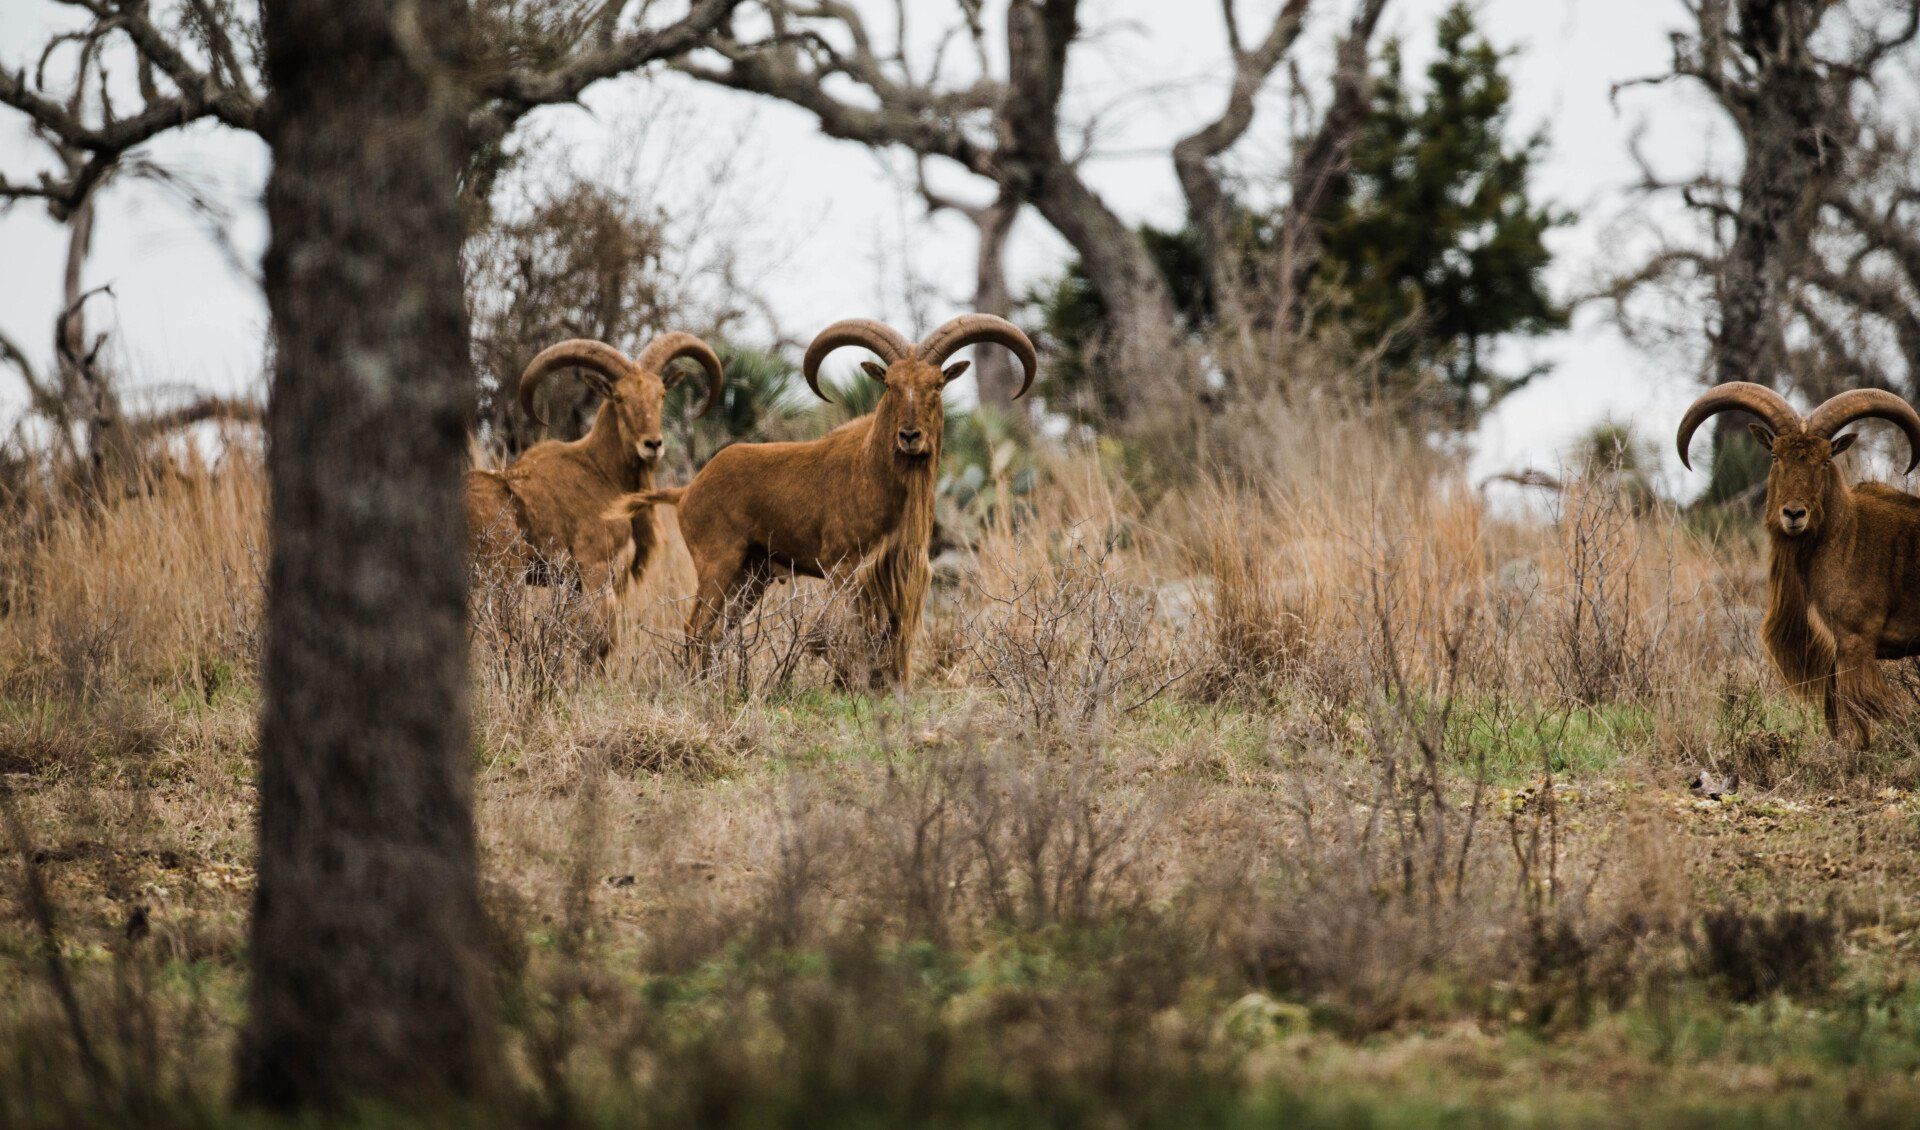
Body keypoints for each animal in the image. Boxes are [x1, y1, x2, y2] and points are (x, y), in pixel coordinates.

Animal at [467, 333, 723, 653]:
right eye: (619, 397)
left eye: (661, 394)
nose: (652, 444)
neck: (600, 471)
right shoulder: (595, 569)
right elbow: (597, 639)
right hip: (504, 574)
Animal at [624, 314, 1036, 689]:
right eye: (890, 384)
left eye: (936, 385)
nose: (909, 436)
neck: (878, 476)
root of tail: (689, 490)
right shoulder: (845, 569)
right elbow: (843, 637)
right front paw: (851, 687)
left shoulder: (900, 571)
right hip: (718, 565)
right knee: (696, 628)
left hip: (750, 577)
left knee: (714, 633)